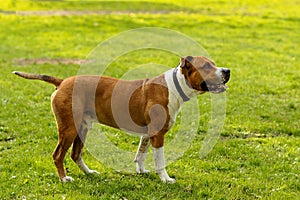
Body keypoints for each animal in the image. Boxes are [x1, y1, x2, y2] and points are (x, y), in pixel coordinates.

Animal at [12, 55, 231, 183]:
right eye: (206, 66)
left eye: (214, 64)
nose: (227, 71)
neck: (174, 86)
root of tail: (63, 81)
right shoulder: (158, 136)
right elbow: (160, 160)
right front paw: (165, 179)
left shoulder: (148, 134)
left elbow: (140, 154)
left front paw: (141, 171)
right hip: (69, 128)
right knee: (58, 154)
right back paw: (64, 179)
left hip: (82, 128)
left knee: (76, 154)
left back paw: (89, 173)